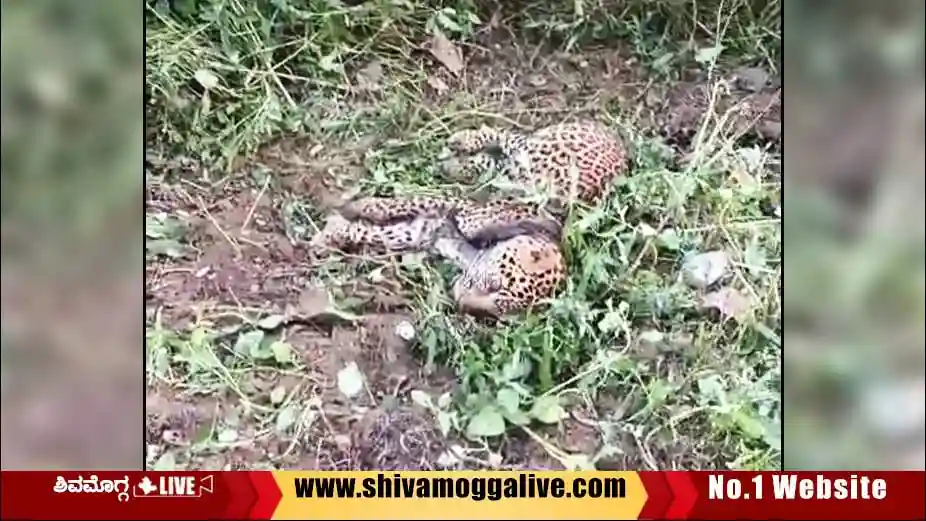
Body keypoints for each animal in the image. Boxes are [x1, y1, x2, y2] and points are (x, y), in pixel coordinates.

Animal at [310, 120, 630, 318]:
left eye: (498, 311)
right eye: (495, 285)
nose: (461, 302)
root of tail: (615, 137)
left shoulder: (429, 230)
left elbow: (385, 232)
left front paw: (334, 234)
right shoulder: (462, 212)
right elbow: (413, 201)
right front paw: (360, 208)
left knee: (495, 161)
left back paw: (458, 162)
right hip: (535, 150)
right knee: (507, 138)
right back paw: (462, 144)